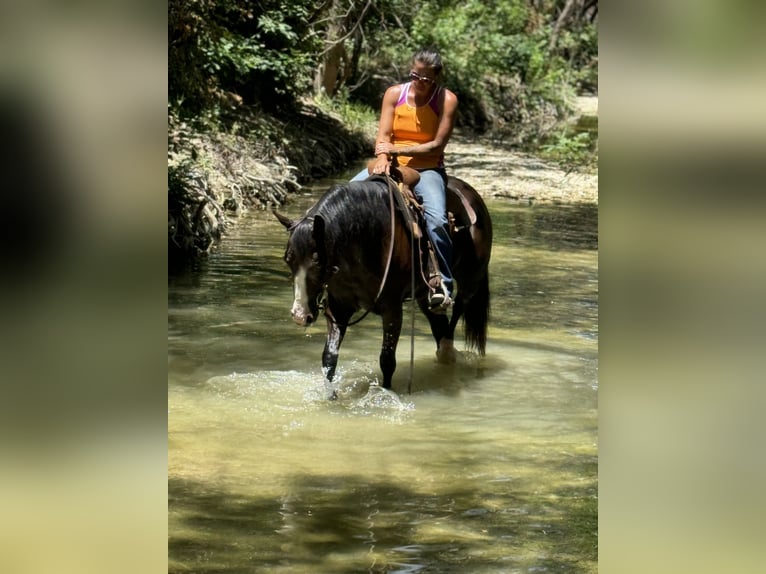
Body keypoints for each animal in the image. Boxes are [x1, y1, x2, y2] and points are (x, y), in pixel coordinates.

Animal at [276, 176, 492, 398]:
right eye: (288, 259)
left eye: (317, 260)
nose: (300, 315)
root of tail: (471, 194)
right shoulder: (338, 308)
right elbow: (329, 358)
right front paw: (331, 397)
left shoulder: (392, 309)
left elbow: (387, 360)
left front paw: (385, 394)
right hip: (424, 296)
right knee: (438, 322)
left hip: (470, 279)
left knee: (458, 309)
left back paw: (447, 352)